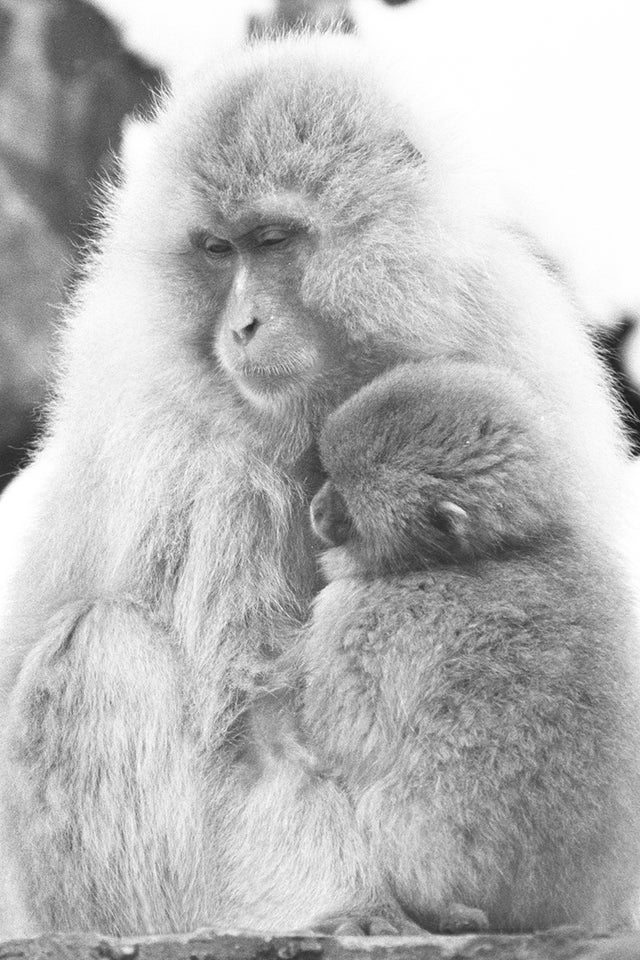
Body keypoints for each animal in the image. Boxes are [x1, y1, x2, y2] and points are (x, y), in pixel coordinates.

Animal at [301, 358, 640, 933]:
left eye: (346, 509)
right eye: (329, 477)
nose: (318, 507)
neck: (493, 551)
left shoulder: (360, 616)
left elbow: (346, 743)